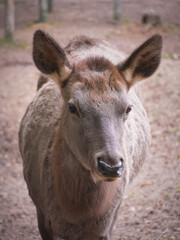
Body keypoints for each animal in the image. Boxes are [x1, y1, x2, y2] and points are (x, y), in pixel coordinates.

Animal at [19, 30, 162, 240]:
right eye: (72, 106)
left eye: (128, 108)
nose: (111, 166)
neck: (75, 214)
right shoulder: (41, 210)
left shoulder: (106, 224)